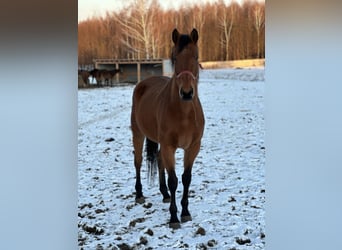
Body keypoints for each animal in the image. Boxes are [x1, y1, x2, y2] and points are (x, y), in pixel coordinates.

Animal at [130, 28, 204, 229]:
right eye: (175, 58)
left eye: (195, 56)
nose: (186, 93)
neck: (184, 113)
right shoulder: (169, 147)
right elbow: (173, 180)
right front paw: (173, 218)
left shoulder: (193, 147)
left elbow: (186, 178)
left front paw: (185, 212)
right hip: (138, 134)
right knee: (138, 162)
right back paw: (139, 194)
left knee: (158, 159)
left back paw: (164, 194)